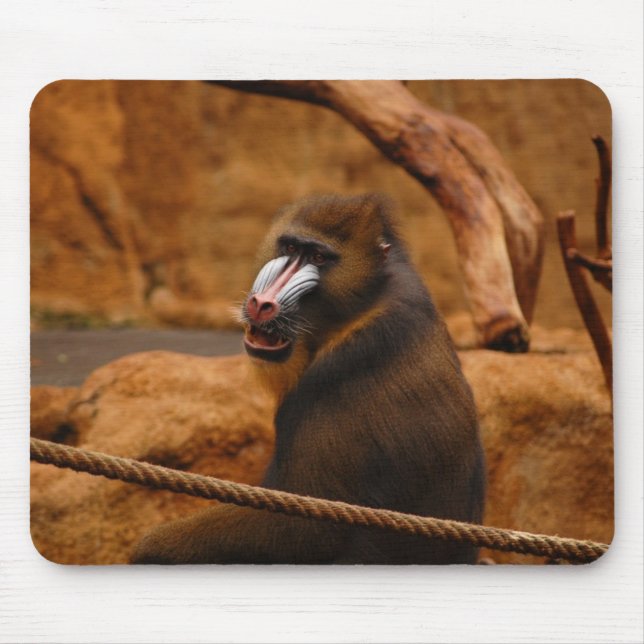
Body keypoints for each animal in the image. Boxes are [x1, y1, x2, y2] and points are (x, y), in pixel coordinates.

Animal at [131, 194, 486, 565]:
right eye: (290, 247)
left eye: (318, 257)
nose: (261, 303)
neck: (358, 307)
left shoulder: (338, 374)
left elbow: (305, 526)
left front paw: (148, 548)